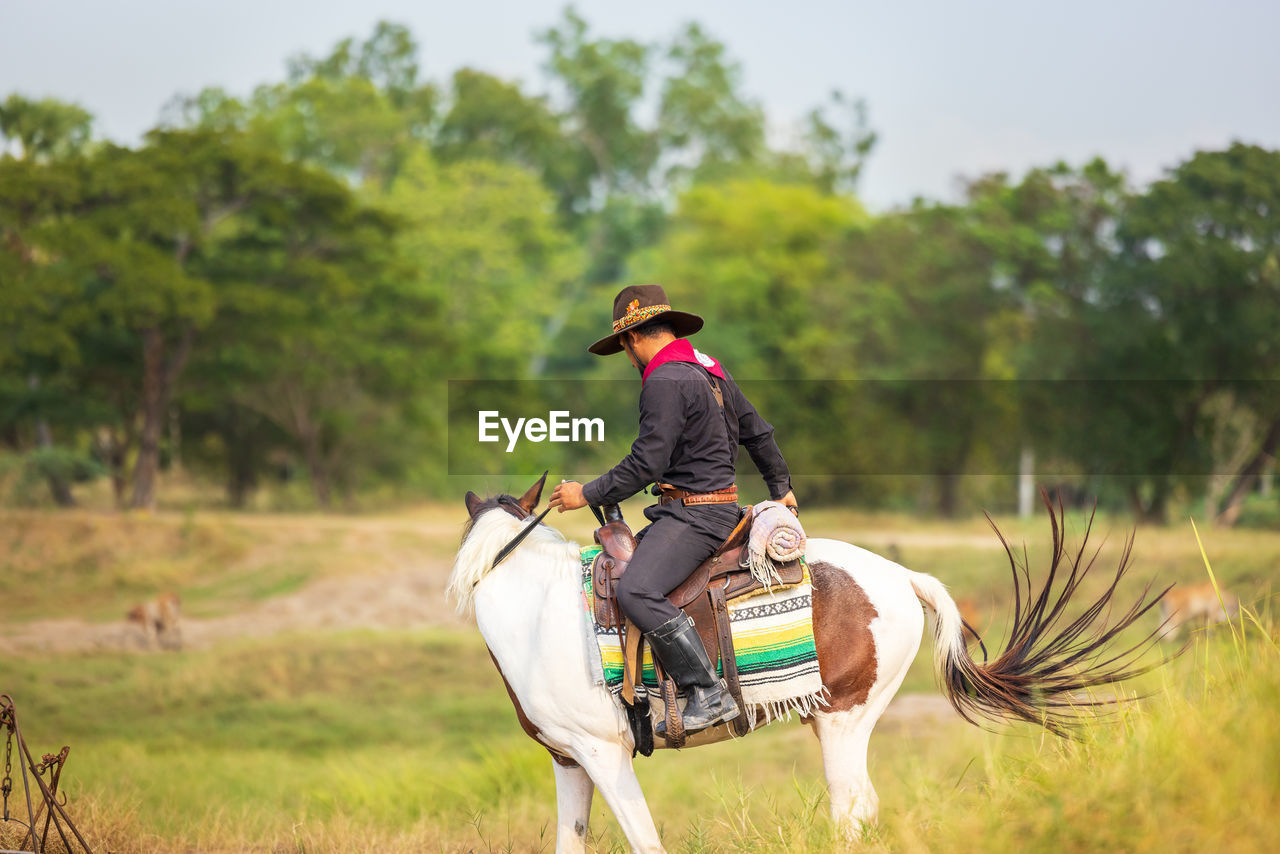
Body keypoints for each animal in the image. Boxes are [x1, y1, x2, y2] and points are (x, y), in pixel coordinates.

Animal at [450, 473, 1172, 854]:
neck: (541, 613)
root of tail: (903, 576)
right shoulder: (569, 759)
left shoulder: (604, 754)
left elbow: (645, 840)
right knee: (863, 807)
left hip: (842, 718)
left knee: (851, 810)